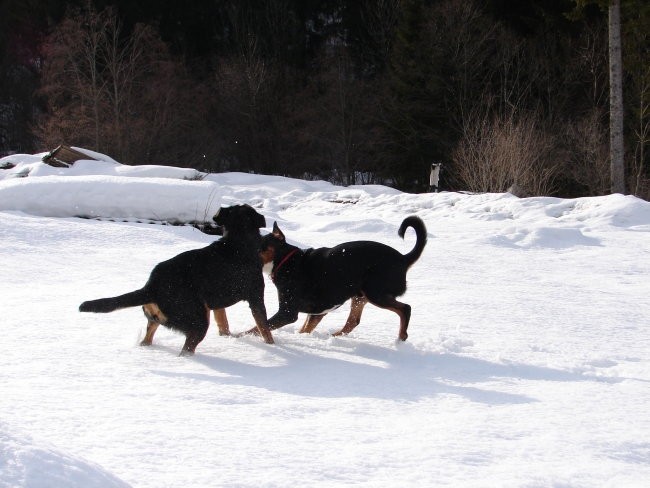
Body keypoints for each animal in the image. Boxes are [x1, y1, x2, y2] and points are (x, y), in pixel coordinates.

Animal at [80, 203, 274, 354]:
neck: (238, 241)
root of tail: (151, 286)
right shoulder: (256, 297)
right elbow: (264, 328)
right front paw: (273, 346)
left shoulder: (218, 304)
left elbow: (223, 324)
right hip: (198, 321)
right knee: (186, 349)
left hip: (156, 320)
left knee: (147, 338)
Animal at [248, 218, 426, 344]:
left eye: (259, 246)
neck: (286, 261)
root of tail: (403, 259)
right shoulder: (317, 311)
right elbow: (303, 329)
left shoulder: (287, 312)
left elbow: (259, 327)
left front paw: (242, 337)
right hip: (360, 296)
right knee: (353, 321)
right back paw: (334, 337)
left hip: (376, 293)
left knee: (405, 309)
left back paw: (401, 338)